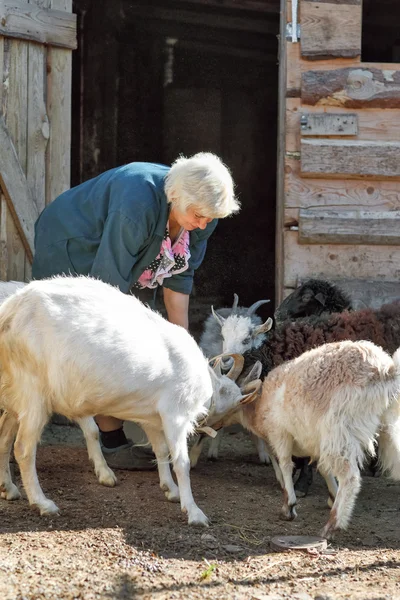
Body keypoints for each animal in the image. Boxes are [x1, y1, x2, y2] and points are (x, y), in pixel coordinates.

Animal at [205, 340, 400, 540]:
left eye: (223, 403)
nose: (204, 423)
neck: (259, 407)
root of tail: (386, 371)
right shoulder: (314, 443)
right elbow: (323, 469)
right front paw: (332, 495)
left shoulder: (280, 434)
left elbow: (285, 464)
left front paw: (289, 507)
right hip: (388, 425)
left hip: (338, 429)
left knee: (350, 476)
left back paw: (332, 526)